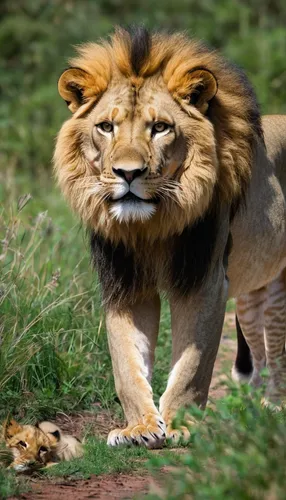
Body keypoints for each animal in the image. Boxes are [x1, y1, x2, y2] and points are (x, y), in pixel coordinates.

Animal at [54, 26, 286, 450]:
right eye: (106, 127)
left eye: (160, 127)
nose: (128, 173)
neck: (151, 225)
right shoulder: (125, 283)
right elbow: (126, 364)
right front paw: (139, 427)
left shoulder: (204, 280)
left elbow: (193, 364)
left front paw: (180, 423)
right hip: (251, 294)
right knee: (259, 351)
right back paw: (253, 409)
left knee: (277, 352)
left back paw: (274, 407)